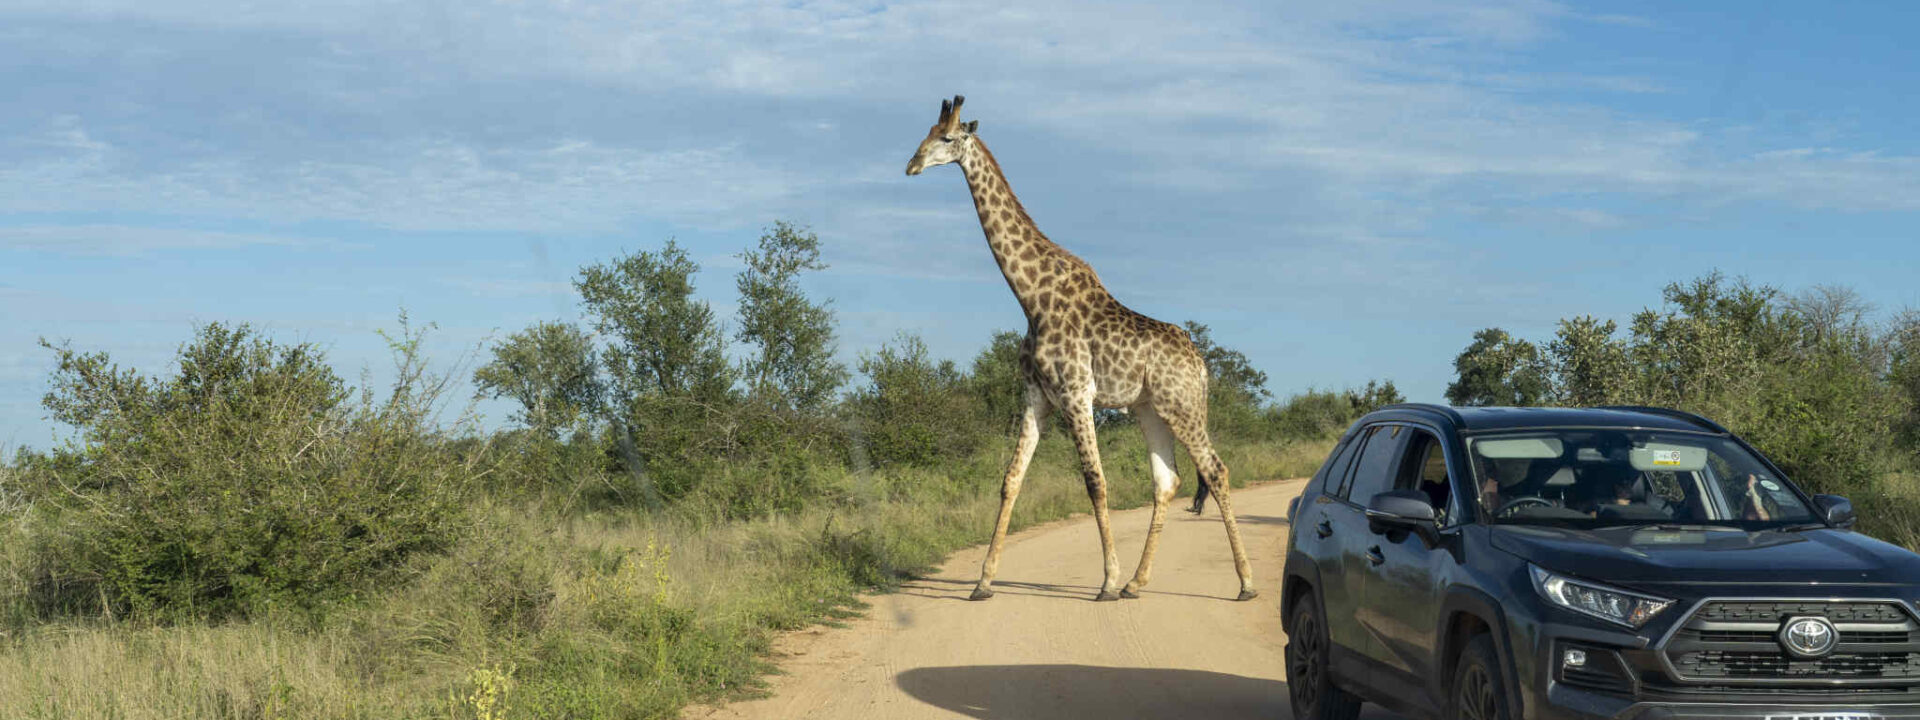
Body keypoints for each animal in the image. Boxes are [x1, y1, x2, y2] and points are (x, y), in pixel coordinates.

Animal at [905, 95, 1257, 602]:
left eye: (948, 138)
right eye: (926, 132)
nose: (911, 165)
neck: (1030, 295)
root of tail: (1202, 365)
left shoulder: (1075, 393)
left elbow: (1095, 482)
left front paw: (1105, 580)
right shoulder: (1037, 396)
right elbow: (1010, 480)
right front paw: (983, 582)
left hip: (1183, 406)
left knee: (1216, 469)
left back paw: (1244, 583)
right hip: (1149, 409)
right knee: (1167, 480)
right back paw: (1137, 582)